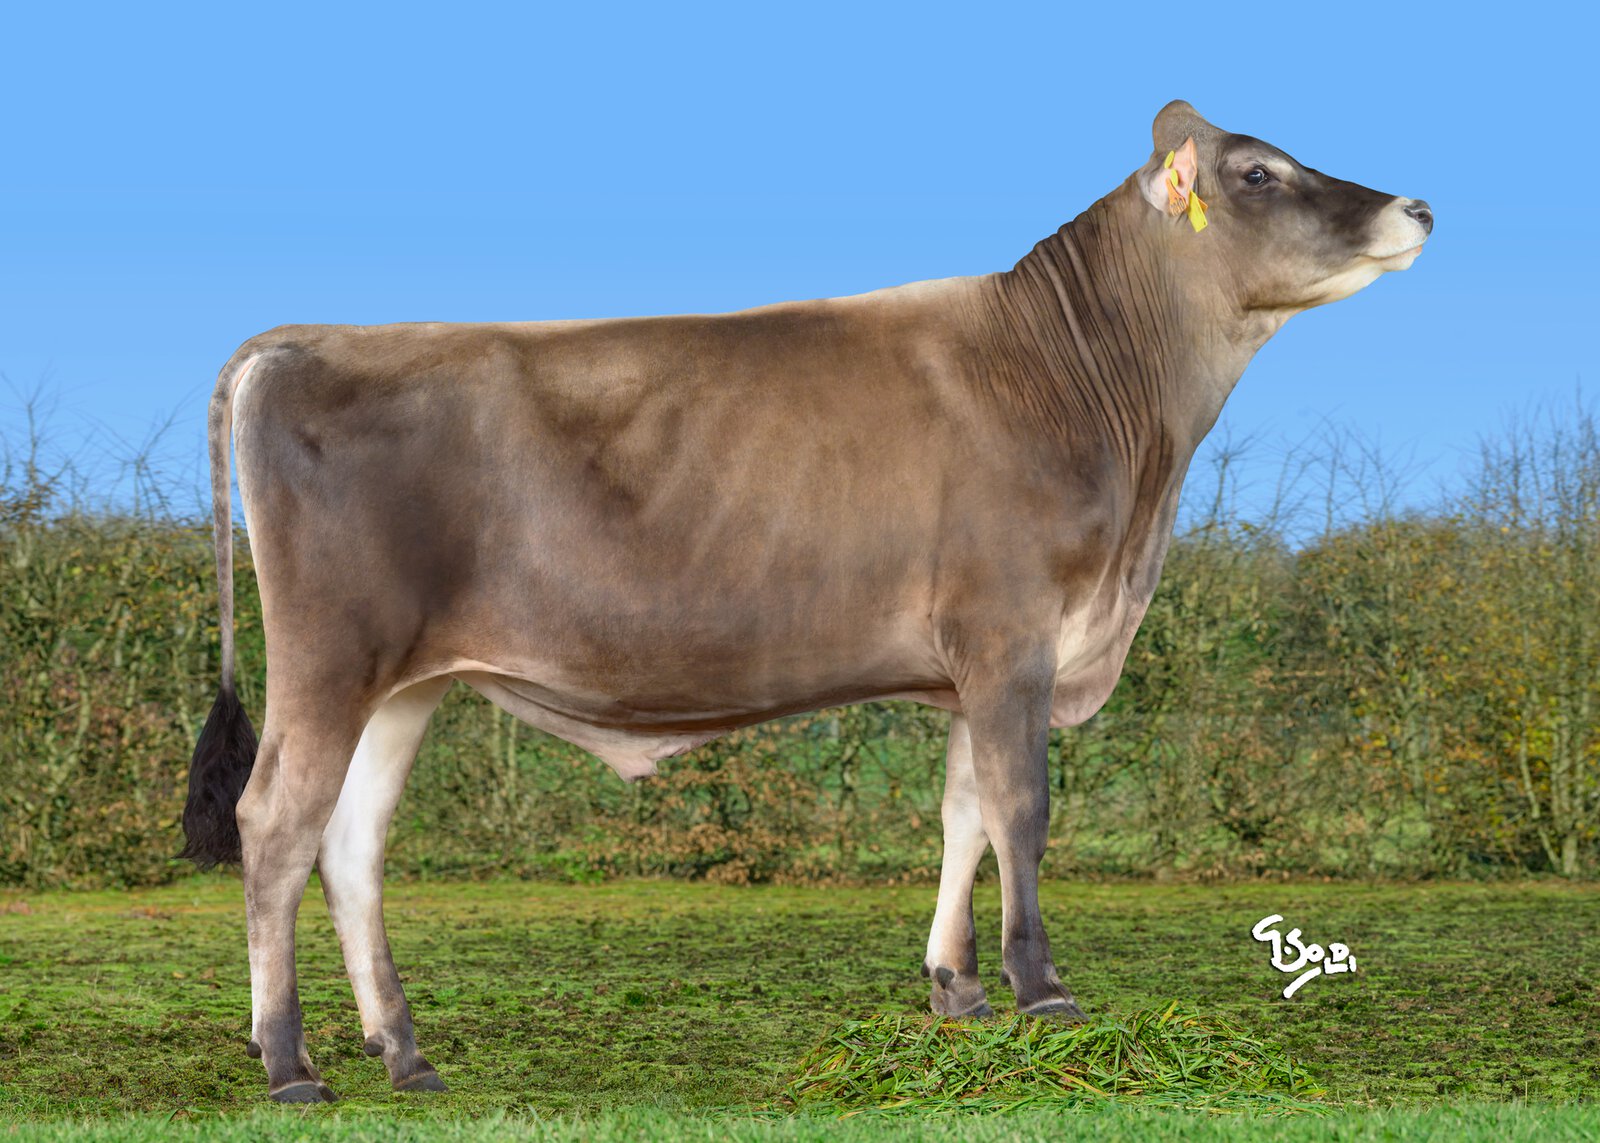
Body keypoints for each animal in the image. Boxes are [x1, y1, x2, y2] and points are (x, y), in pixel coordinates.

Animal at [181, 101, 1431, 1102]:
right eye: (1257, 173)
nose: (1416, 204)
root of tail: (300, 338)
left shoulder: (973, 664)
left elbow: (962, 813)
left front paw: (956, 992)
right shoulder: (1011, 634)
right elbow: (1021, 809)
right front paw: (1043, 992)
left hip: (407, 681)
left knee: (352, 845)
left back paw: (406, 1057)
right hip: (330, 655)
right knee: (276, 825)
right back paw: (289, 1063)